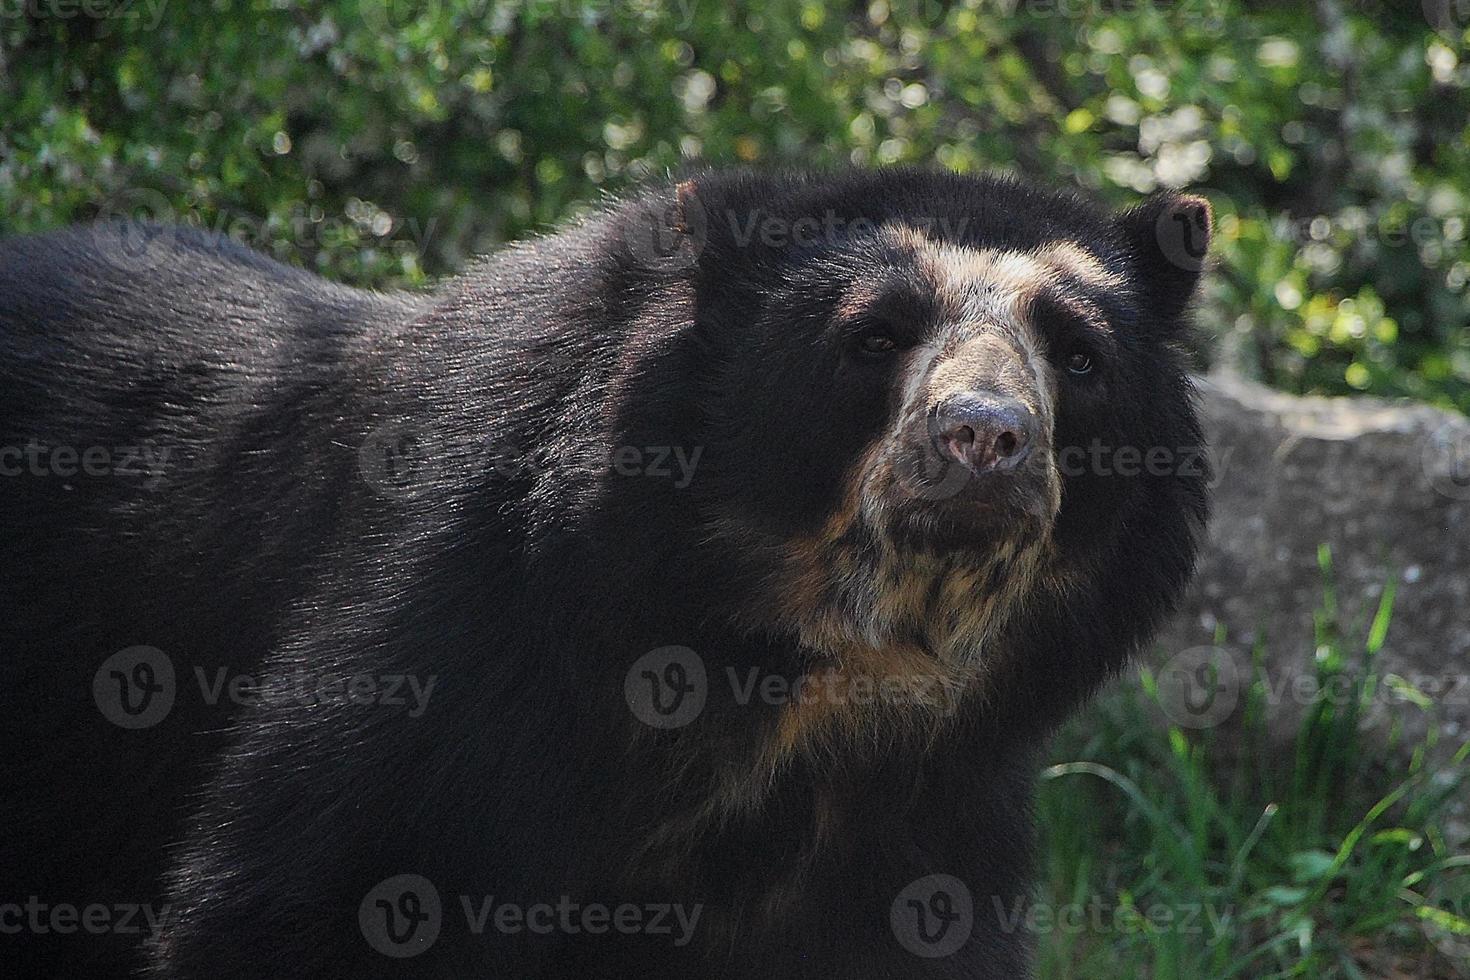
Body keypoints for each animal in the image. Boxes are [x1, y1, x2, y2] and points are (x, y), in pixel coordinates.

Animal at [0, 170, 1211, 980]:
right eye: (873, 337)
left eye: (1079, 356)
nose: (985, 438)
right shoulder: (462, 642)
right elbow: (321, 896)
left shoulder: (920, 807)